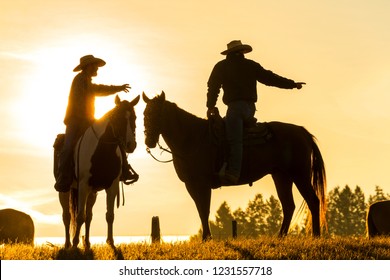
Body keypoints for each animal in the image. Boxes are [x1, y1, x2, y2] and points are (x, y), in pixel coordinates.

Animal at [143, 92, 326, 241]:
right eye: (144, 114)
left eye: (157, 114)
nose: (149, 141)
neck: (192, 137)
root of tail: (302, 131)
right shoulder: (192, 185)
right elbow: (201, 210)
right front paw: (206, 238)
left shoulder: (202, 184)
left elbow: (204, 210)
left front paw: (206, 238)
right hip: (281, 176)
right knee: (288, 206)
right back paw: (280, 236)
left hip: (300, 175)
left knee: (312, 200)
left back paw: (316, 236)